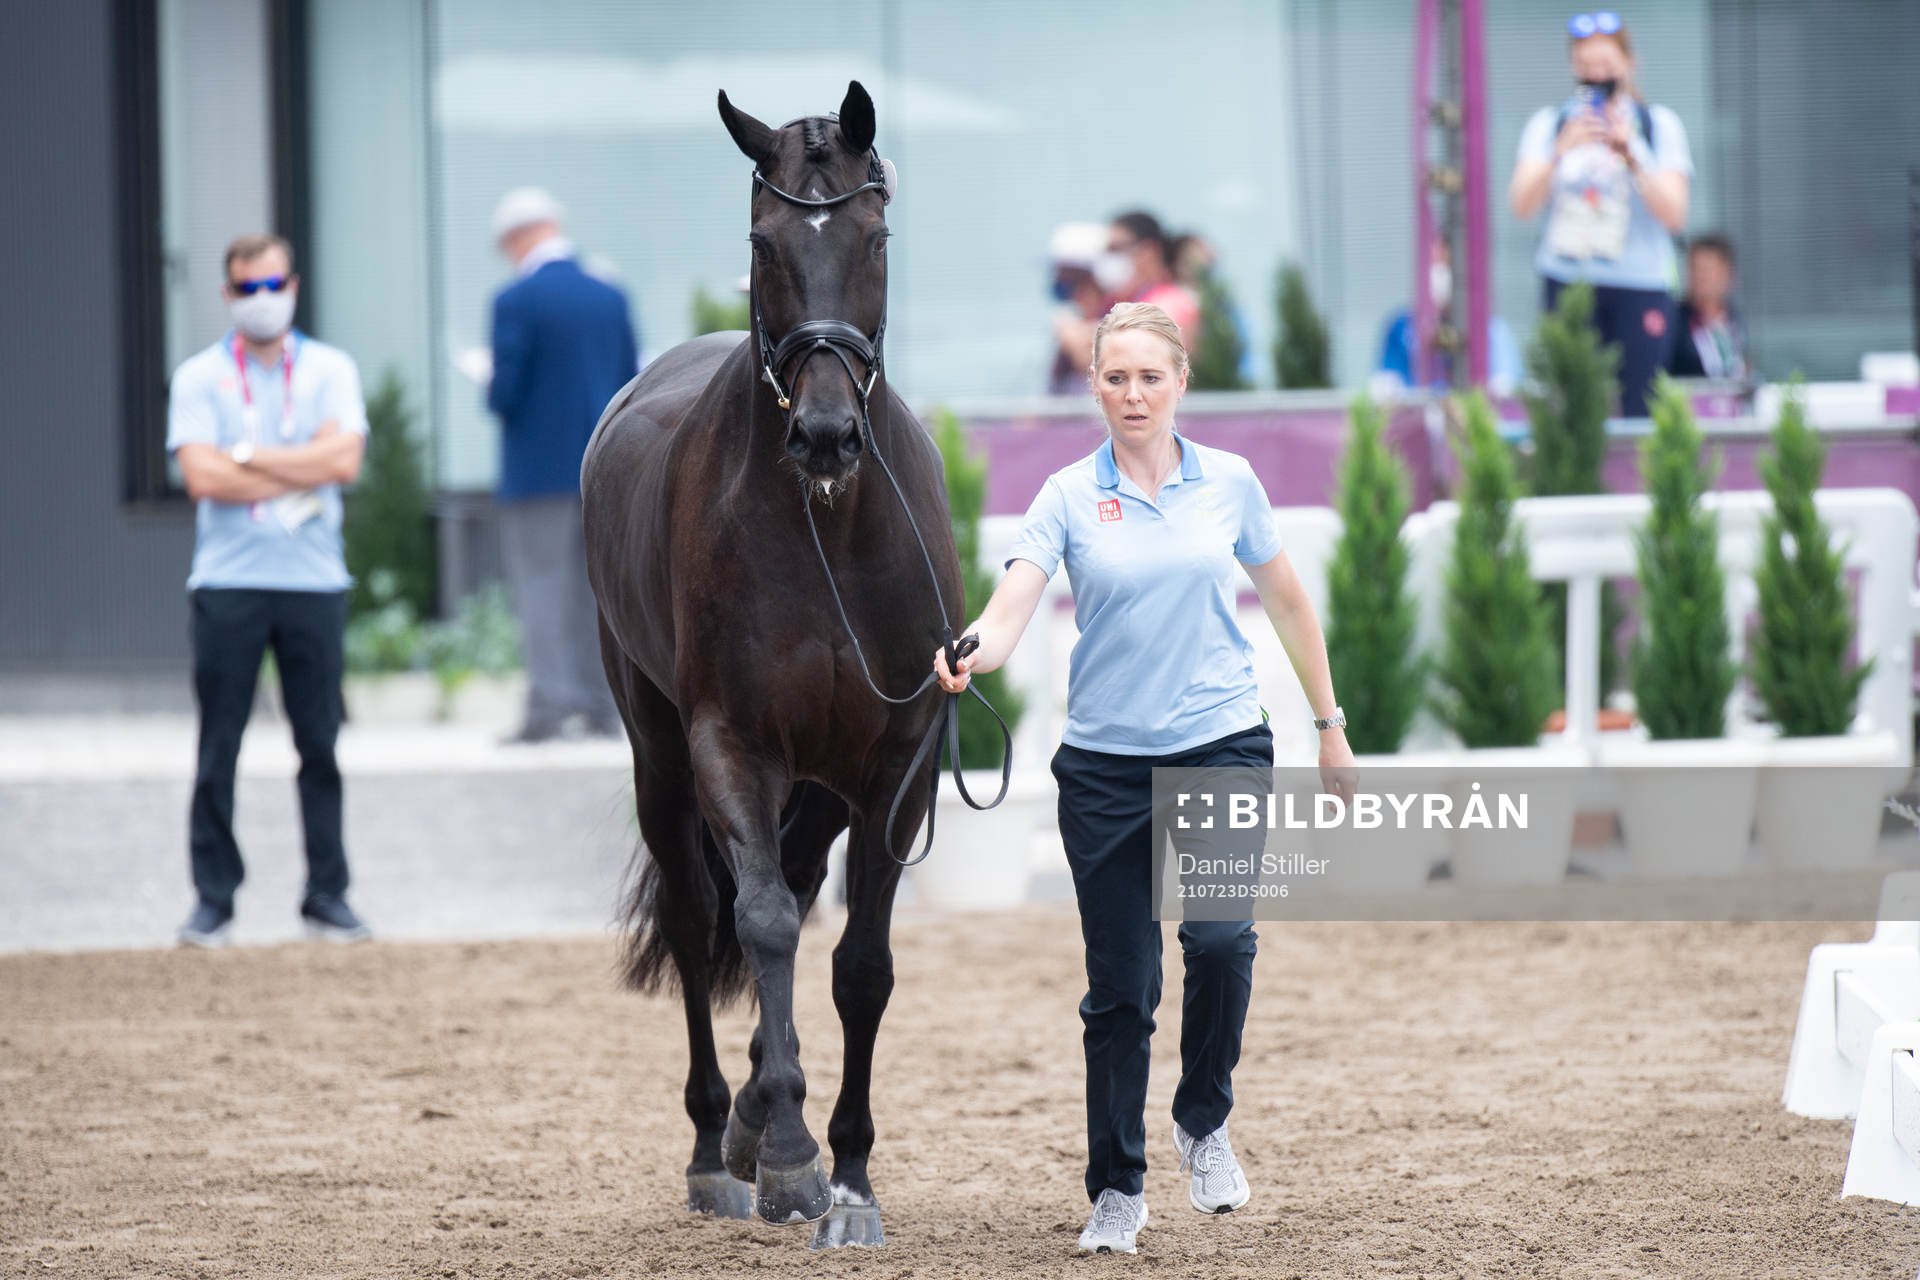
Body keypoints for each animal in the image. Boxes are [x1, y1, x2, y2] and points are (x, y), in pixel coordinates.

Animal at [581, 82, 962, 1249]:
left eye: (876, 236)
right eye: (764, 242)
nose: (829, 435)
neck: (827, 528)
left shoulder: (897, 763)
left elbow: (861, 966)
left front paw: (852, 1175)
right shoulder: (732, 742)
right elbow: (756, 925)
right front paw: (794, 1159)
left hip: (821, 787)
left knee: (790, 889)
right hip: (661, 750)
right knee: (704, 914)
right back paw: (721, 1145)